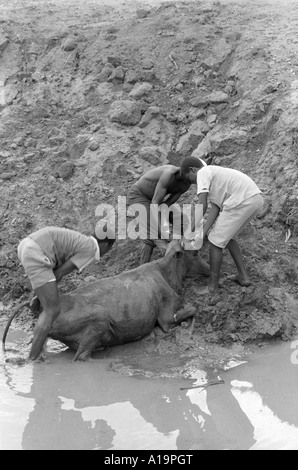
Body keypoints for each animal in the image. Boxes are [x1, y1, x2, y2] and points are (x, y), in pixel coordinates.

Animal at [47, 241, 208, 362]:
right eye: (195, 253)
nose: (209, 267)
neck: (167, 274)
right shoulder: (167, 318)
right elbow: (193, 308)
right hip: (100, 319)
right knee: (82, 356)